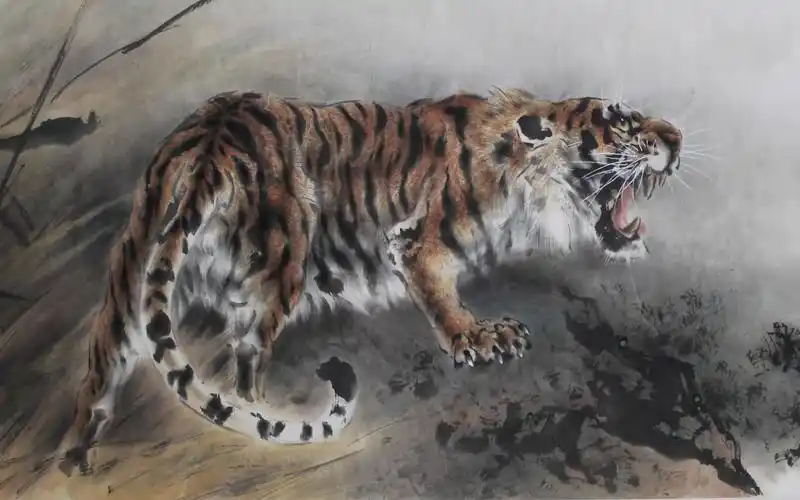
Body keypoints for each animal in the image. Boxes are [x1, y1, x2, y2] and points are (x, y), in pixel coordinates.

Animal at [58, 88, 682, 475]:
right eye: (622, 120)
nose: (676, 137)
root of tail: (213, 137)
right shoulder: (415, 242)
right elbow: (442, 299)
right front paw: (481, 338)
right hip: (276, 275)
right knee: (243, 371)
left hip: (130, 282)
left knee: (97, 382)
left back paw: (73, 461)